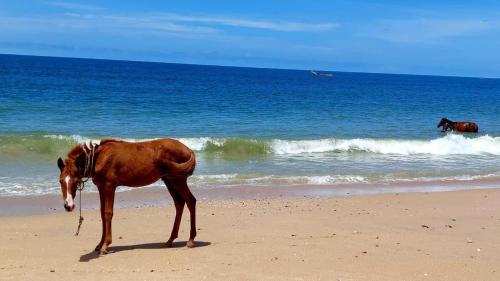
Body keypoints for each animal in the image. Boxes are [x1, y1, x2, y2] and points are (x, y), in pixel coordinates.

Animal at [57, 138, 197, 254]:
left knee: (190, 201)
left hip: (178, 180)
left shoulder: (109, 186)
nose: (68, 206)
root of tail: (187, 149)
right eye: (60, 181)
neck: (99, 157)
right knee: (179, 204)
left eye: (76, 181)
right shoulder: (101, 188)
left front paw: (105, 245)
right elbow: (102, 214)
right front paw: (100, 244)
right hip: (169, 180)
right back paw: (170, 240)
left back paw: (190, 240)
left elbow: (108, 213)